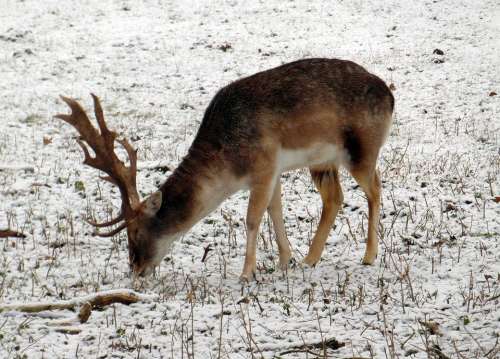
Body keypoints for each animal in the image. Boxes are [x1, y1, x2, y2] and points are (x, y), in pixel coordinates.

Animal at [56, 57, 394, 282]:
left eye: (135, 230)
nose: (136, 269)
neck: (230, 166)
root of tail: (391, 96)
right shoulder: (273, 171)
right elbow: (275, 211)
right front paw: (285, 262)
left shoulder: (264, 165)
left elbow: (253, 219)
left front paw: (246, 274)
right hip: (322, 161)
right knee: (335, 198)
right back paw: (310, 259)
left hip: (362, 149)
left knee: (376, 188)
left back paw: (368, 256)